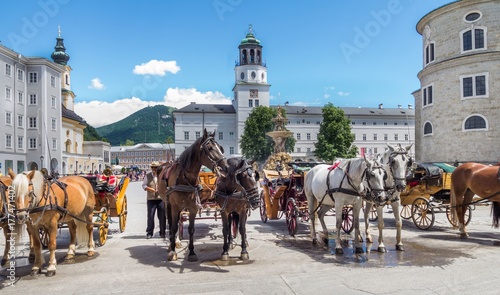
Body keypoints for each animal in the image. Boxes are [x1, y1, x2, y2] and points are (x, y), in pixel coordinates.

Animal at [161, 128, 226, 262]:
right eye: (210, 148)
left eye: (221, 148)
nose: (225, 167)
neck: (185, 179)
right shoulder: (175, 207)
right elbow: (174, 227)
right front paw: (173, 252)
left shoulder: (193, 207)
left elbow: (191, 229)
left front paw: (191, 252)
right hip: (167, 205)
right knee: (171, 224)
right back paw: (171, 245)